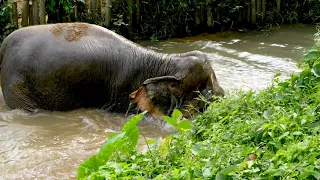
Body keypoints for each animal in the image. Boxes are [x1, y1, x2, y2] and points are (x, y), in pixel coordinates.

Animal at [0, 22, 225, 119]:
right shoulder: (122, 92)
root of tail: (4, 46)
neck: (165, 62)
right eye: (206, 92)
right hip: (17, 86)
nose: (223, 97)